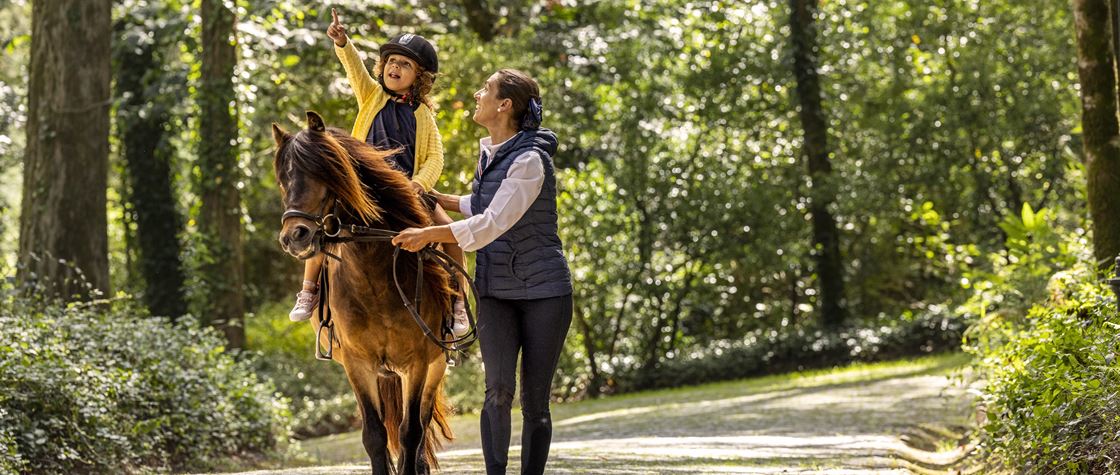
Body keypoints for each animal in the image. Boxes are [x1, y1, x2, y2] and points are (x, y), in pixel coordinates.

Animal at [272, 111, 454, 475]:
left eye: (323, 172)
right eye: (284, 180)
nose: (294, 237)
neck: (373, 279)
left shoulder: (417, 363)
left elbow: (411, 432)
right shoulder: (357, 365)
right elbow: (374, 435)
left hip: (435, 365)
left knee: (422, 423)